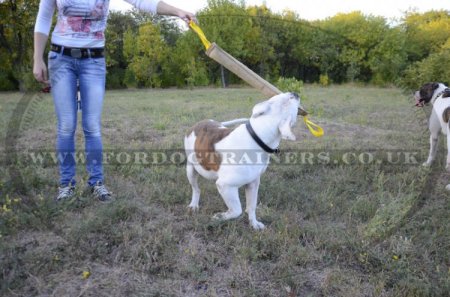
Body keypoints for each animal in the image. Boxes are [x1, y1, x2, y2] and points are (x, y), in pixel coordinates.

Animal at [183, 92, 306, 229]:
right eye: (288, 99)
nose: (295, 93)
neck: (257, 137)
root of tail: (200, 122)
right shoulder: (225, 185)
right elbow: (237, 210)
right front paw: (220, 217)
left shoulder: (253, 183)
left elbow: (251, 206)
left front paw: (254, 224)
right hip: (191, 170)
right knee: (196, 189)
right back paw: (194, 204)